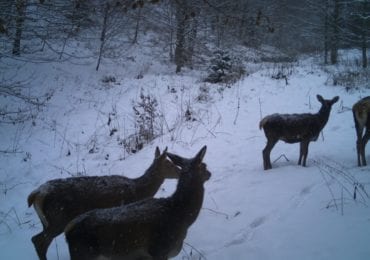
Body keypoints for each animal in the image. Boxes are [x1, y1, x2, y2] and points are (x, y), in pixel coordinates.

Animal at [28, 147, 180, 258]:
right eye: (169, 164)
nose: (180, 171)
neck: (139, 190)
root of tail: (37, 194)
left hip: (47, 221)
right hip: (58, 218)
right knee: (39, 241)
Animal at [64, 146, 211, 260]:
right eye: (204, 166)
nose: (209, 173)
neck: (181, 215)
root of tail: (68, 231)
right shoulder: (158, 249)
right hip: (84, 253)